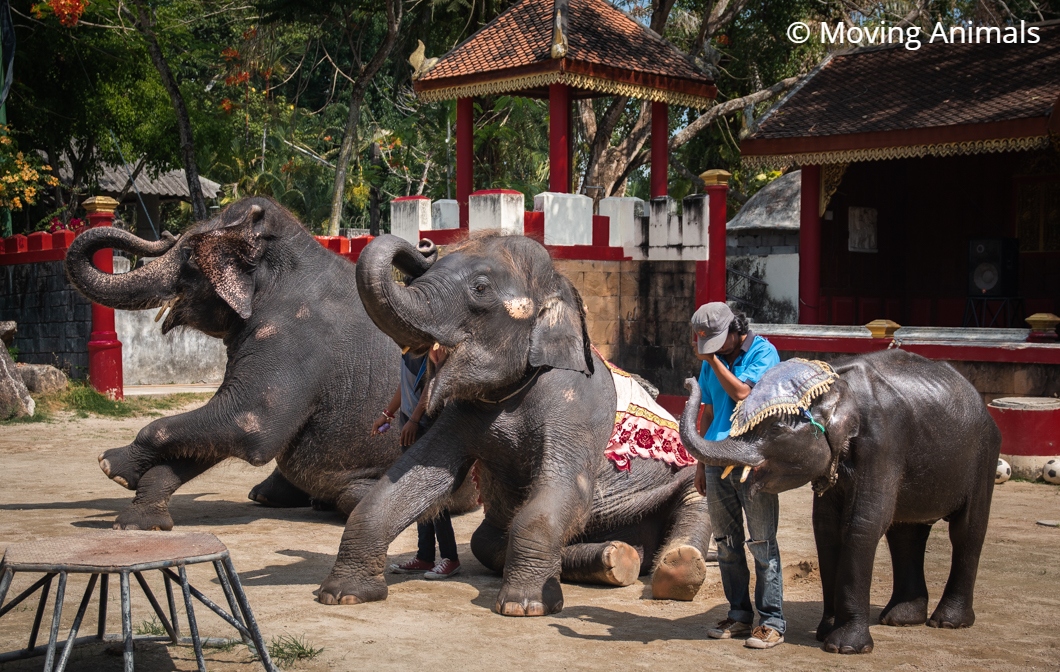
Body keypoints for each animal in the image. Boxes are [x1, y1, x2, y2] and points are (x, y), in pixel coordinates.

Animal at [65, 196, 475, 530]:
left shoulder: (293, 340)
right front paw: (137, 522)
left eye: (190, 256)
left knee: (352, 496)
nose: (164, 234)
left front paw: (110, 465)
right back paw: (271, 496)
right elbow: (220, 432)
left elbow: (247, 422)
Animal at [317, 232, 714, 616]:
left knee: (696, 502)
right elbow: (416, 475)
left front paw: (524, 606)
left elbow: (565, 489)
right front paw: (342, 594)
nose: (425, 245)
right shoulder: (462, 413)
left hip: (682, 479)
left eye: (480, 288)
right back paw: (615, 557)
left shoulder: (576, 405)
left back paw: (677, 569)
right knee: (487, 541)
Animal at [679, 350, 1000, 654]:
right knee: (906, 532)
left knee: (967, 531)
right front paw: (824, 633)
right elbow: (825, 528)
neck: (837, 389)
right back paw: (900, 618)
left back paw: (947, 622)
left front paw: (844, 647)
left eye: (776, 429)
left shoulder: (884, 443)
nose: (688, 379)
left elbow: (863, 525)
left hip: (985, 455)